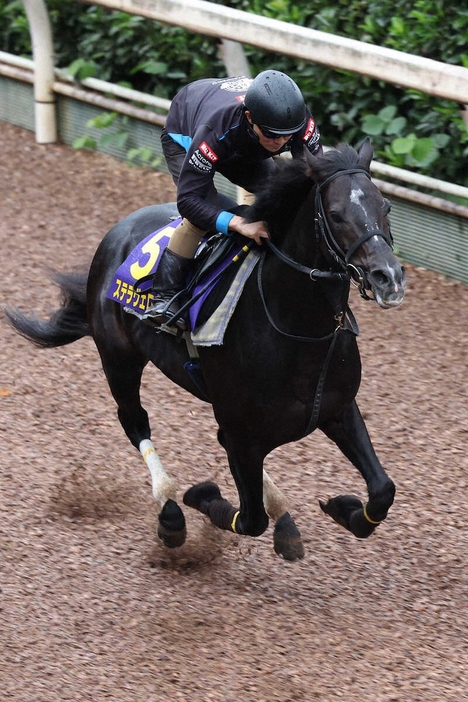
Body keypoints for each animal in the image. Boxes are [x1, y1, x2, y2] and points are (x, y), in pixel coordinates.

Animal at [4, 140, 406, 564]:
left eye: (386, 206)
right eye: (335, 214)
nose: (389, 277)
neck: (299, 332)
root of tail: (118, 231)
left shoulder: (337, 409)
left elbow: (382, 490)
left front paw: (344, 508)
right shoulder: (245, 435)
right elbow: (249, 519)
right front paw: (202, 495)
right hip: (119, 359)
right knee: (135, 423)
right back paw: (170, 513)